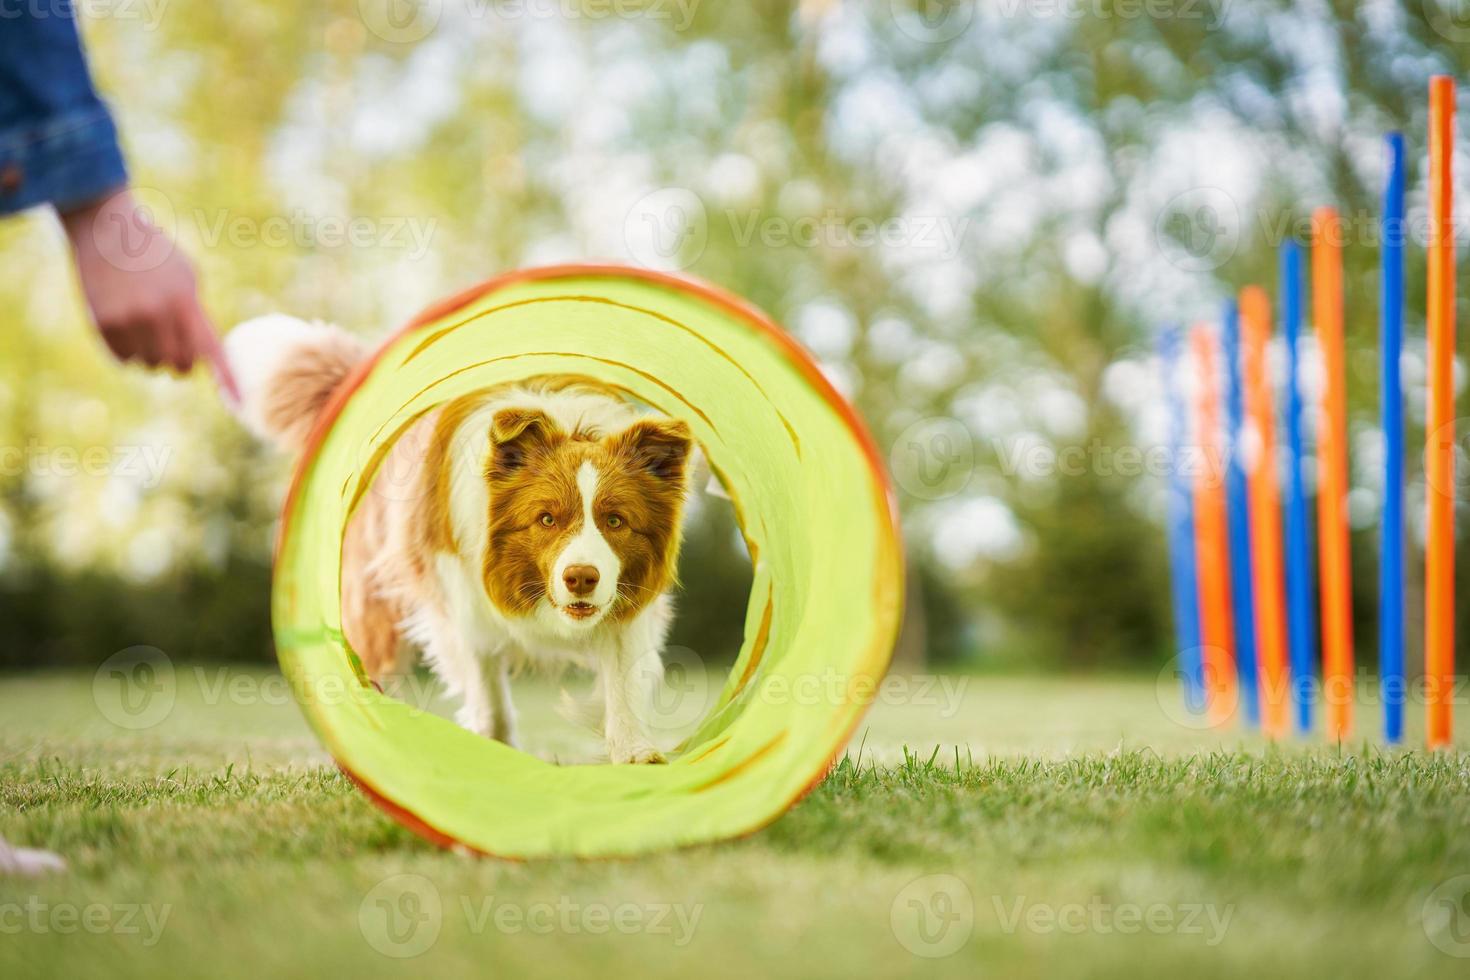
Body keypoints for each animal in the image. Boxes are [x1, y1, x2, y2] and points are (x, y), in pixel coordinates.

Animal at [224, 318, 693, 764]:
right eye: (546, 519)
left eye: (615, 521)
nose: (581, 578)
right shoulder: (463, 603)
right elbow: (489, 694)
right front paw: (496, 748)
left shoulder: (627, 600)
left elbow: (623, 678)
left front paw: (634, 751)